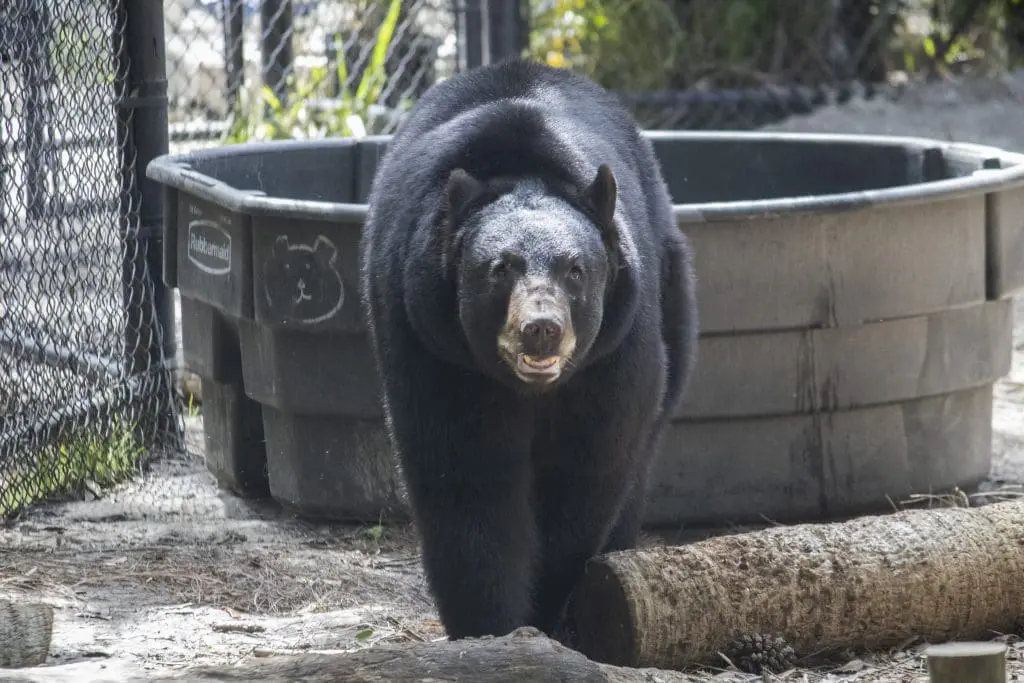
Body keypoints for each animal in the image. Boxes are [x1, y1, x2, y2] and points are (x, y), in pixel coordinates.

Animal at [356, 58, 700, 643]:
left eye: (576, 269)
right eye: (501, 268)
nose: (541, 329)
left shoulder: (614, 352)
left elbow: (589, 465)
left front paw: (546, 608)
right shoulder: (435, 348)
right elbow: (467, 472)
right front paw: (488, 624)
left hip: (672, 291)